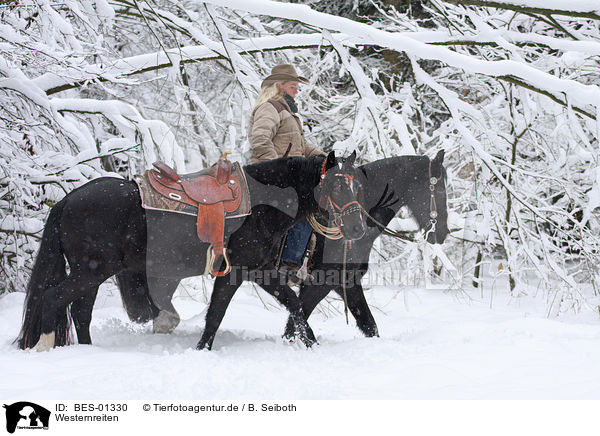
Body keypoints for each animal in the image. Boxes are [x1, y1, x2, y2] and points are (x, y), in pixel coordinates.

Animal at [17, 151, 366, 350]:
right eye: (336, 185)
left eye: (357, 185)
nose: (358, 227)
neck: (261, 204)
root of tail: (67, 200)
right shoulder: (234, 272)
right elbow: (215, 314)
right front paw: (201, 349)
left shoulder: (261, 272)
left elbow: (294, 305)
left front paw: (310, 343)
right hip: (89, 272)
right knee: (54, 300)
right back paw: (45, 346)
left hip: (90, 274)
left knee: (80, 313)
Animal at [284, 150, 448, 338]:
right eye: (441, 190)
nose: (443, 232)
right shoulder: (318, 283)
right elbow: (296, 325)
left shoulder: (348, 283)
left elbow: (369, 324)